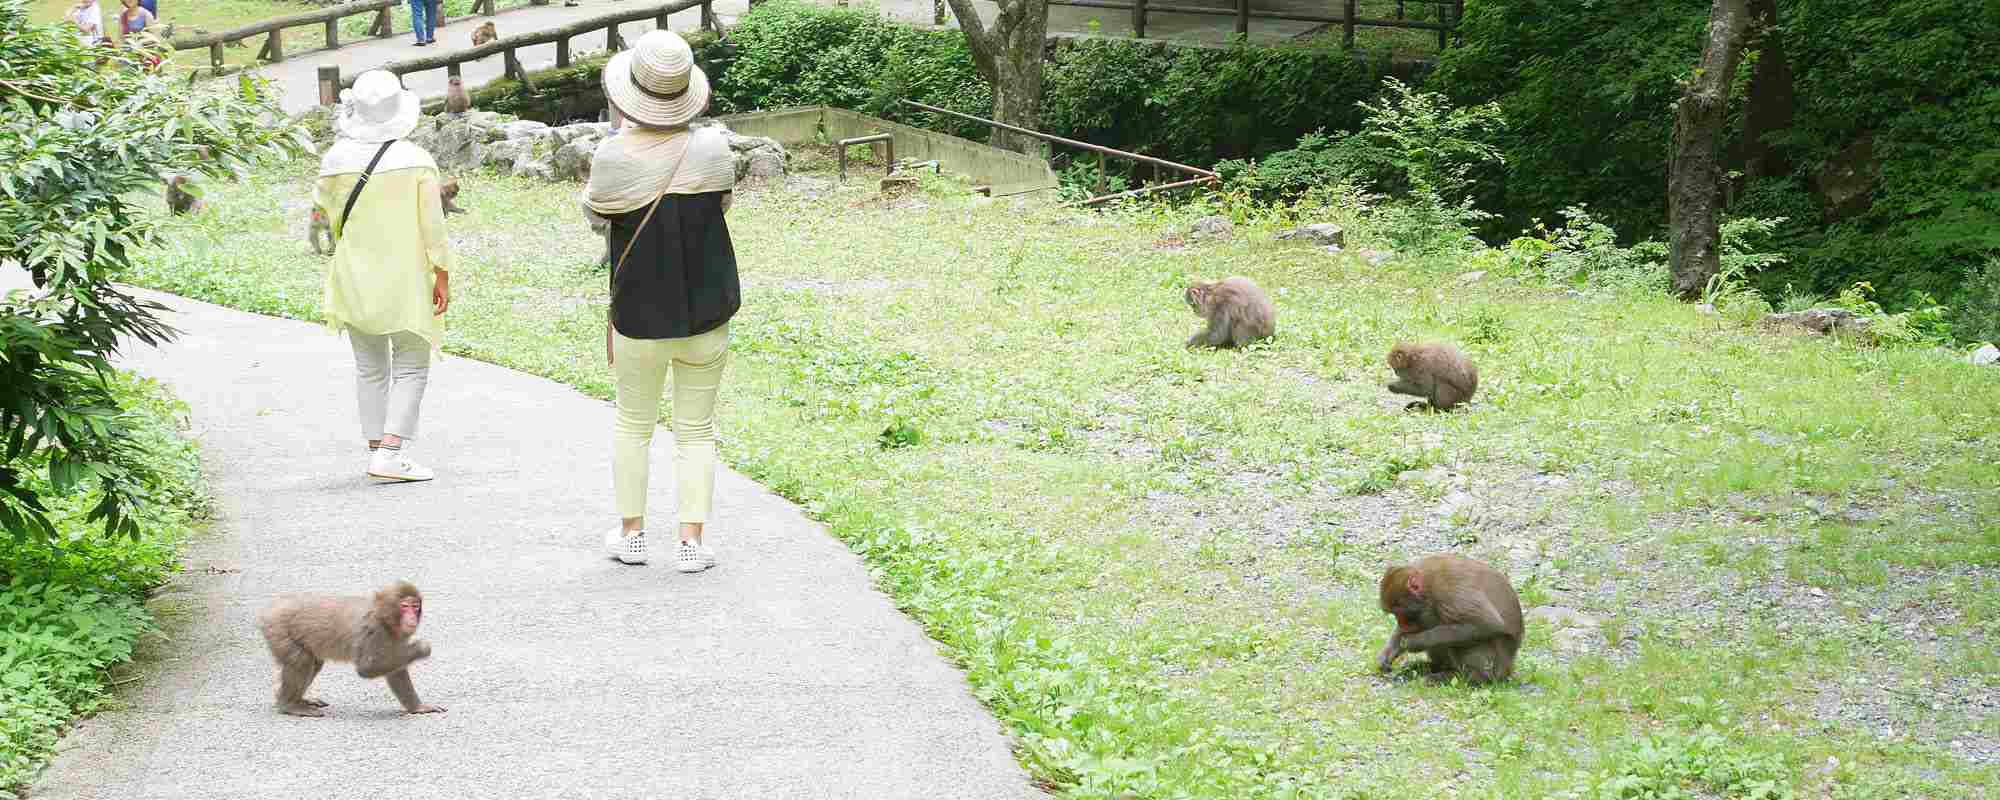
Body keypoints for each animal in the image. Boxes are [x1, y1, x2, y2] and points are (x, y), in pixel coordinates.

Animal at [256, 580, 444, 716]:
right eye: (405, 606)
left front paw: (417, 707)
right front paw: (422, 648)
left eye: (415, 606)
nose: (412, 617)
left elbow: (396, 672)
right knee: (301, 660)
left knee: (314, 662)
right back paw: (289, 705)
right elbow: (366, 668)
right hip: (277, 629)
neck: (383, 616)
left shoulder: (397, 636)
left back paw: (297, 700)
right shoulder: (373, 631)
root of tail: (269, 610)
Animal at [1384, 552, 1520, 684]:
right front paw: (1388, 653)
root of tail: (1508, 669)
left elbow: (1487, 624)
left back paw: (1467, 677)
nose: (1402, 624)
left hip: (1494, 668)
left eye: (1400, 612)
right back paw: (1432, 667)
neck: (1428, 585)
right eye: (1394, 614)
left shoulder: (1449, 591)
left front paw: (1414, 642)